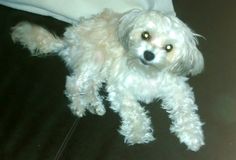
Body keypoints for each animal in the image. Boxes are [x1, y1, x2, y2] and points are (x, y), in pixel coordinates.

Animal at [11, 8, 204, 151]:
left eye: (169, 47)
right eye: (145, 35)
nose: (148, 55)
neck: (147, 72)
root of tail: (66, 41)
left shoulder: (178, 90)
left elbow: (186, 111)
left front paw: (192, 136)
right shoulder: (120, 88)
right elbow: (133, 110)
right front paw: (138, 133)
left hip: (99, 70)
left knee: (89, 86)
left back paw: (95, 105)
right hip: (94, 59)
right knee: (73, 84)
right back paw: (79, 106)